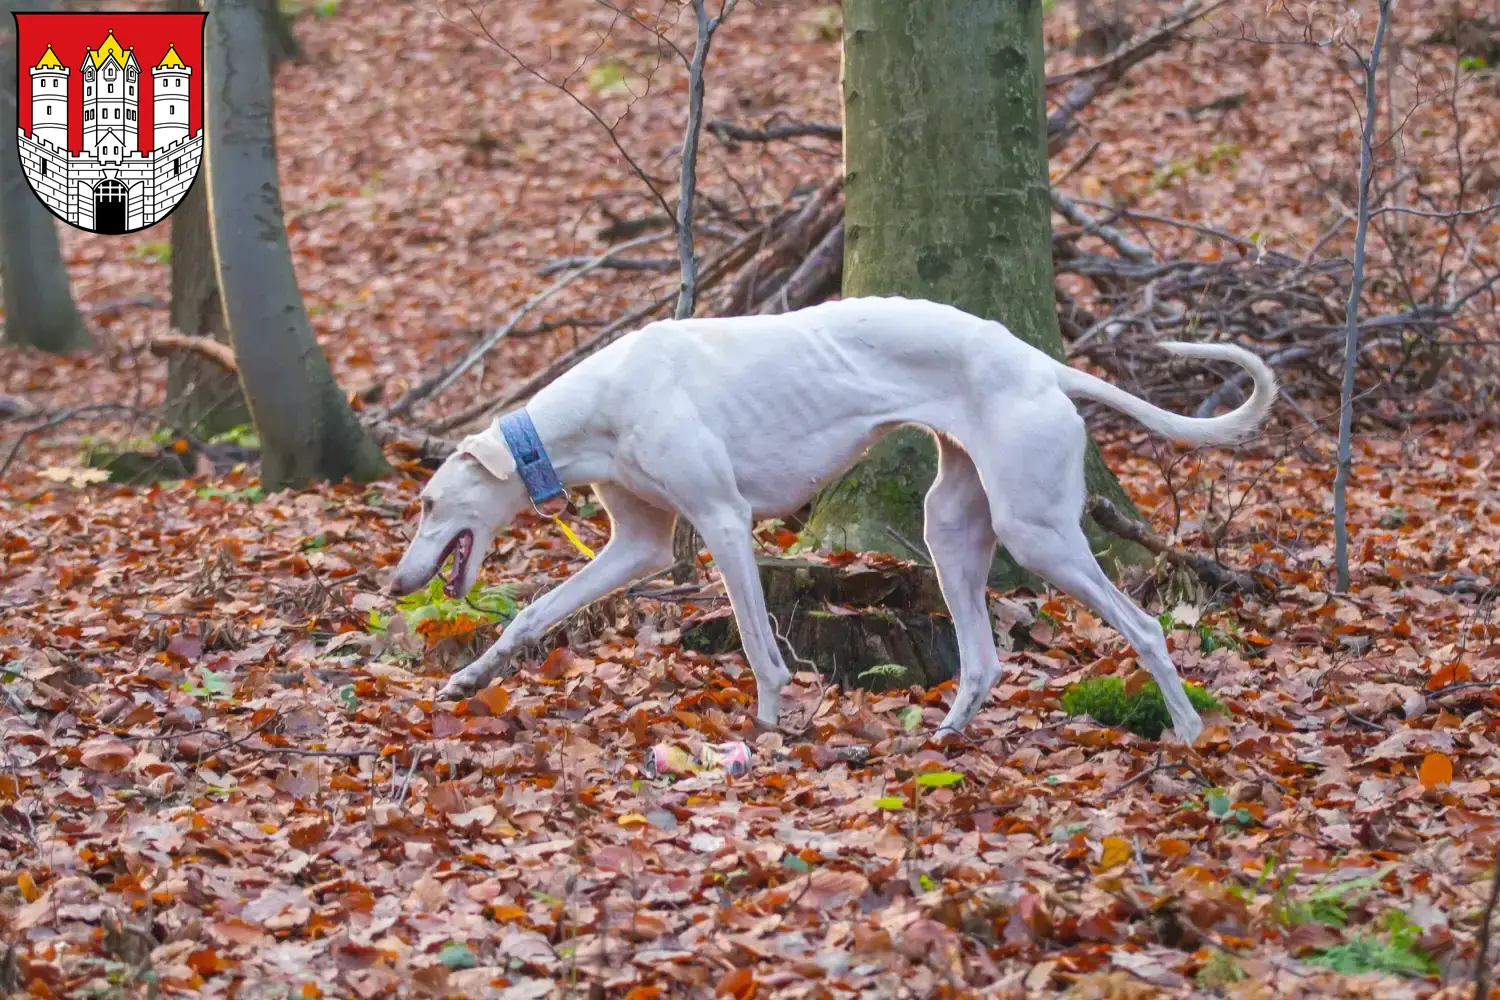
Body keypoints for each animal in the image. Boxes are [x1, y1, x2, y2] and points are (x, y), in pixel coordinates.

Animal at [390, 296, 1278, 743]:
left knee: (1147, 626)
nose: (398, 584)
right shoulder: (637, 545)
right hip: (951, 531)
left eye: (430, 503)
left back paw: (1188, 729)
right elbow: (533, 612)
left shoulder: (723, 520)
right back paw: (944, 734)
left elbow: (758, 644)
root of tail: (1037, 360)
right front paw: (469, 678)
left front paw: (767, 726)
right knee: (985, 658)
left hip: (1040, 533)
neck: (602, 405)